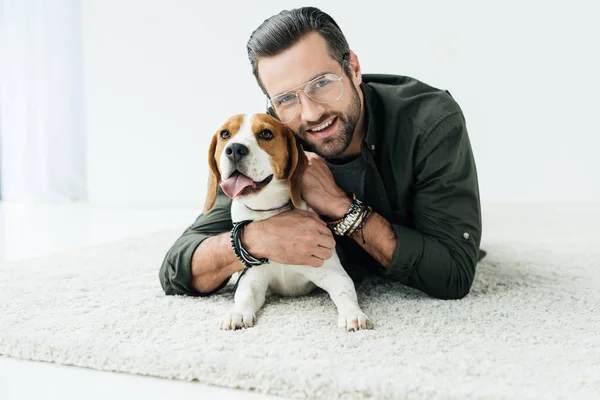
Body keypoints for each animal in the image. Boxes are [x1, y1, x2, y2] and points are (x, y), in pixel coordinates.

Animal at [206, 112, 372, 332]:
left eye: (266, 134)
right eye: (225, 134)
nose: (234, 149)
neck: (269, 211)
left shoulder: (334, 274)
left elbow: (344, 293)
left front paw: (353, 314)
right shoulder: (253, 279)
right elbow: (245, 296)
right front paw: (237, 313)